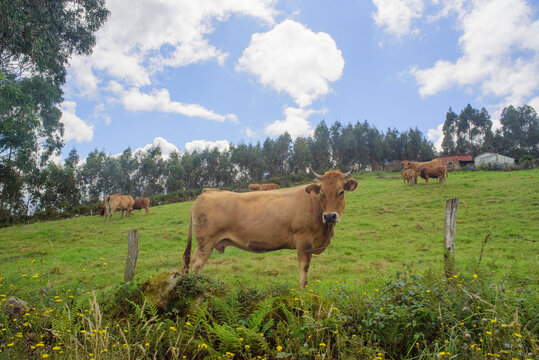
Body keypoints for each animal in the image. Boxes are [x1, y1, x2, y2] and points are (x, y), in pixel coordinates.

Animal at [185, 168, 358, 286]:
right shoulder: (303, 241)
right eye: (322, 193)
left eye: (341, 192)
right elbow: (304, 269)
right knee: (196, 265)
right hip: (205, 243)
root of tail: (203, 195)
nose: (330, 216)